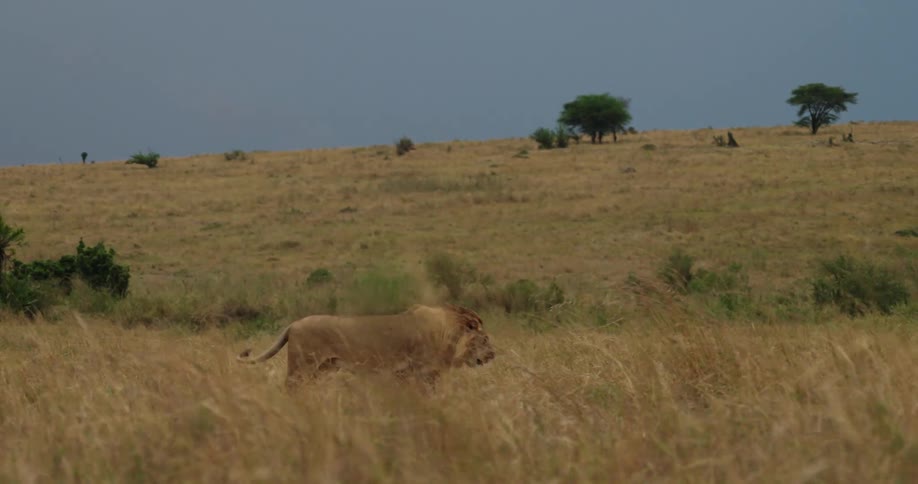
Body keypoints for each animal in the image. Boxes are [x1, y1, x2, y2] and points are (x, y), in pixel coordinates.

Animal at [237, 304, 495, 389]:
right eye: (484, 339)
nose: (493, 355)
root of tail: (293, 324)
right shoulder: (422, 373)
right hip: (301, 367)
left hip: (320, 369)